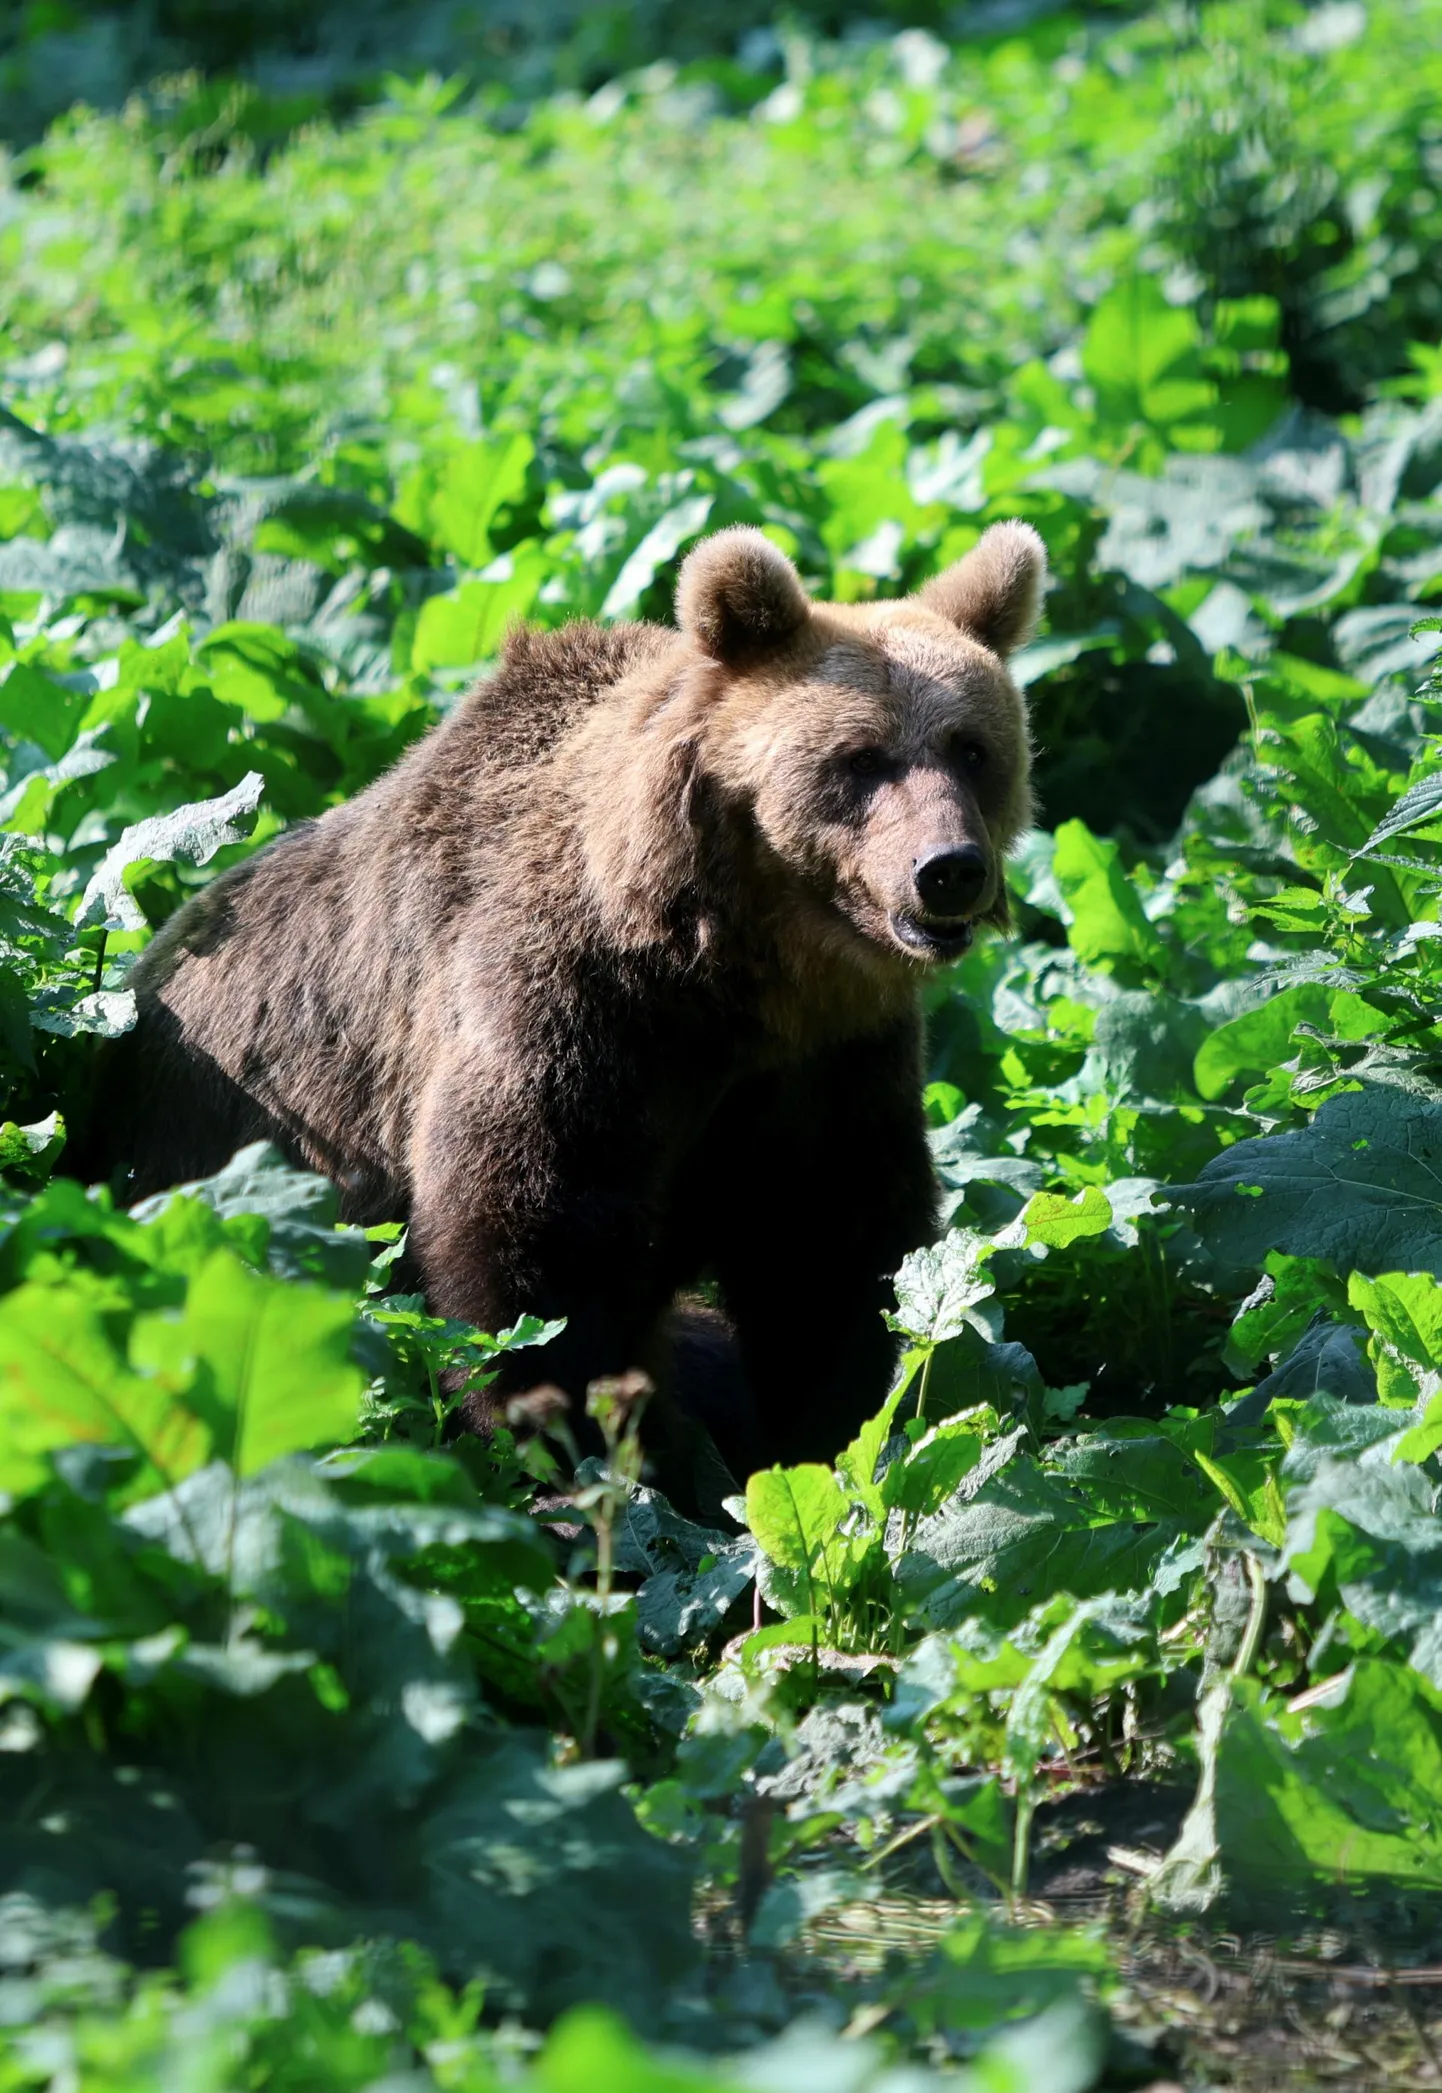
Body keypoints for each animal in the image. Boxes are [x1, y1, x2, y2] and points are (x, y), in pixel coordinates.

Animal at [84, 527, 1042, 1490]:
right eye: (861, 757)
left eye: (972, 748)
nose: (949, 868)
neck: (734, 968)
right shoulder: (568, 1012)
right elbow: (530, 1258)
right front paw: (585, 1453)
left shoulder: (831, 1066)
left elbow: (831, 1255)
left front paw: (830, 1440)